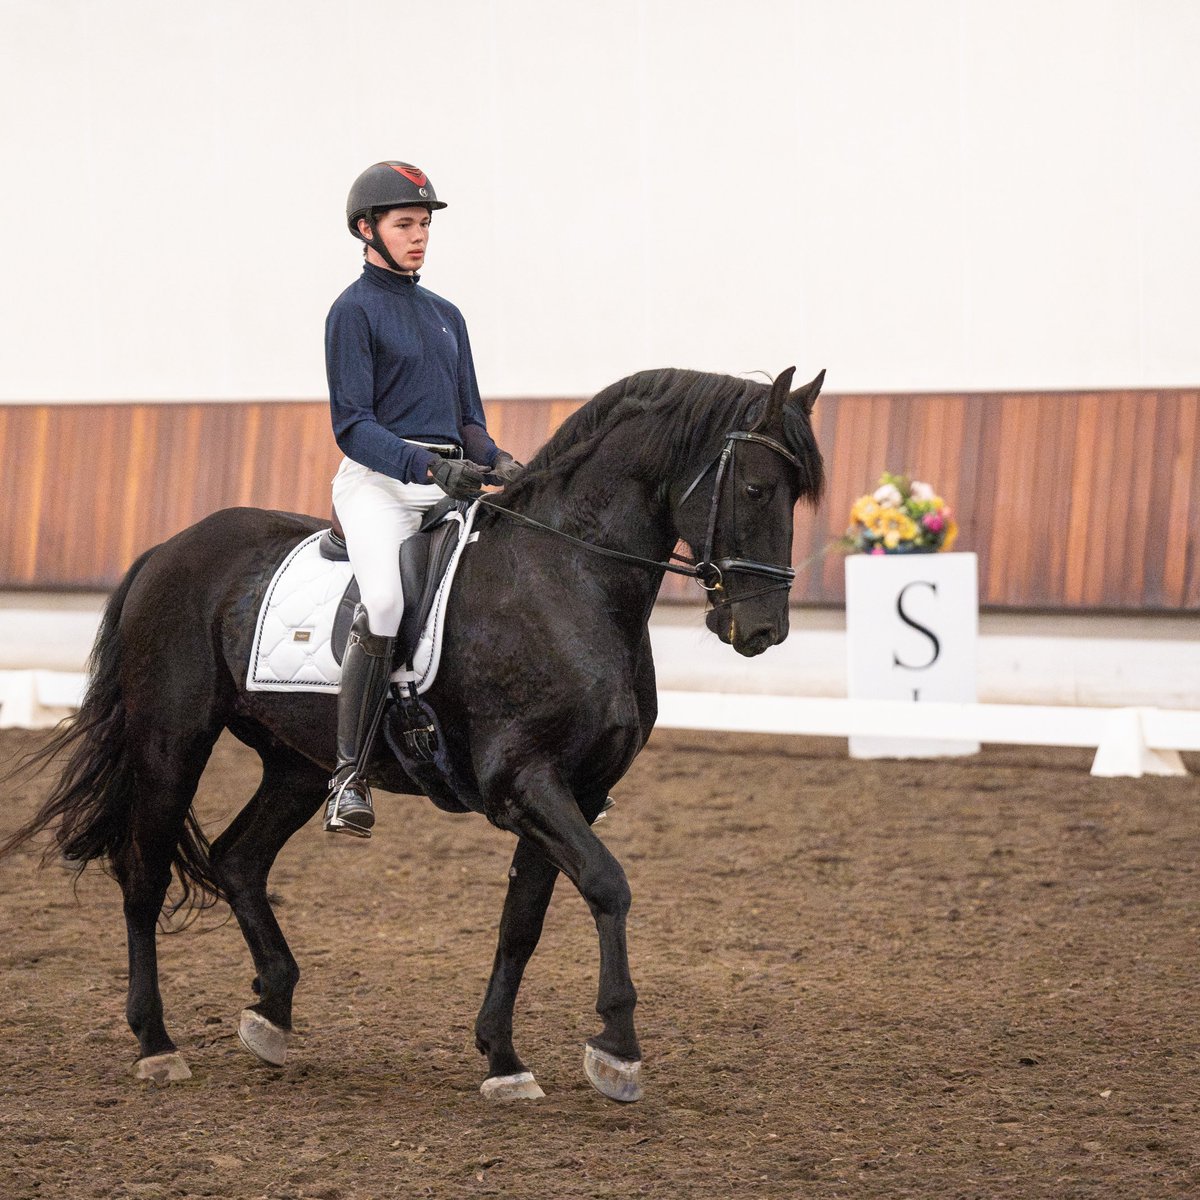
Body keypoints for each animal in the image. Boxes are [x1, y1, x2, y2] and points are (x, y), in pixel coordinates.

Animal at [1, 364, 825, 1101]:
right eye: (756, 488)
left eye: (793, 495)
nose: (763, 631)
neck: (569, 576)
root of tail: (170, 549)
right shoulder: (525, 779)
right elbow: (607, 885)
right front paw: (617, 1049)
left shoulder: (574, 792)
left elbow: (523, 920)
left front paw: (503, 1059)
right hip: (172, 741)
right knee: (143, 873)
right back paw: (157, 1044)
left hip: (297, 764)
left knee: (239, 859)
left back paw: (271, 1013)